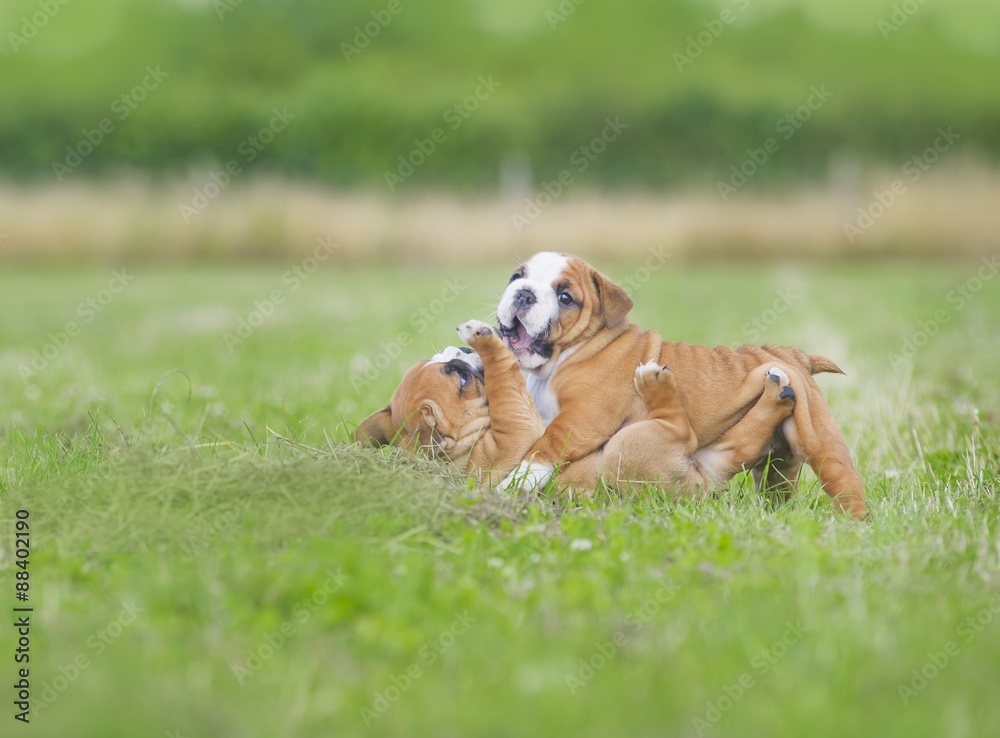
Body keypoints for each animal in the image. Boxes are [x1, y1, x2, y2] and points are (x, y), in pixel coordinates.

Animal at [356, 320, 800, 498]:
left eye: (449, 359)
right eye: (462, 379)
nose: (464, 353)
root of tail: (698, 490)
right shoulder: (514, 432)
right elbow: (504, 380)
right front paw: (485, 339)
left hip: (716, 455)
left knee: (743, 444)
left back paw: (777, 393)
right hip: (631, 451)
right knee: (681, 429)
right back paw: (658, 386)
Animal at [500, 253, 868, 516]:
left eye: (565, 297)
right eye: (517, 276)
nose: (523, 293)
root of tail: (794, 355)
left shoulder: (584, 418)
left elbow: (546, 445)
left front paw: (515, 480)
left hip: (817, 438)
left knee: (842, 476)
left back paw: (853, 522)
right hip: (776, 457)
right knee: (771, 475)